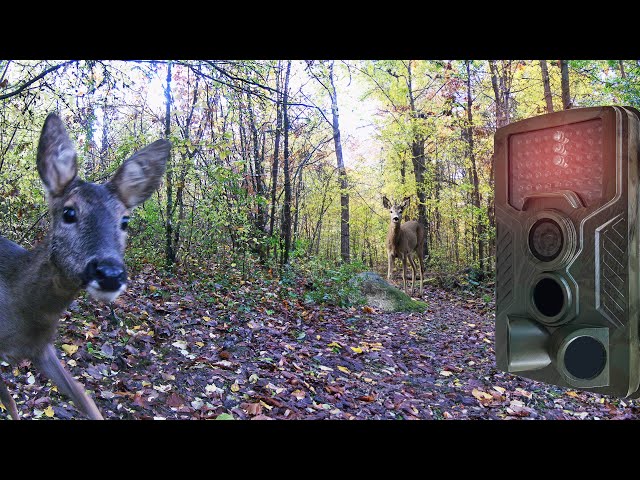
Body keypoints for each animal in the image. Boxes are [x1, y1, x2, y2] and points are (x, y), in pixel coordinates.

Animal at [0, 113, 170, 420]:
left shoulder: (42, 349)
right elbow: (10, 400)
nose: (109, 273)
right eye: (69, 212)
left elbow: (86, 401)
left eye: (124, 220)